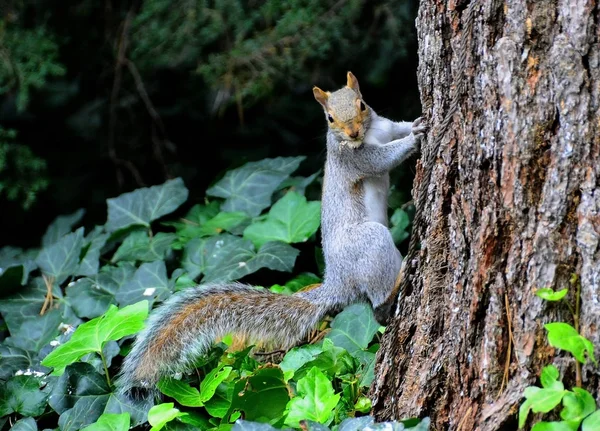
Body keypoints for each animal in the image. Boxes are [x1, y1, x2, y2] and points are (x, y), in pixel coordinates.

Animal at [116, 71, 426, 404]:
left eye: (362, 104)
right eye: (329, 118)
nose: (353, 132)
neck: (369, 135)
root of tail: (338, 281)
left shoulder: (385, 126)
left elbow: (397, 127)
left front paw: (416, 123)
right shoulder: (355, 159)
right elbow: (381, 160)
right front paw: (416, 136)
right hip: (370, 242)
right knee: (379, 309)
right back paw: (399, 278)